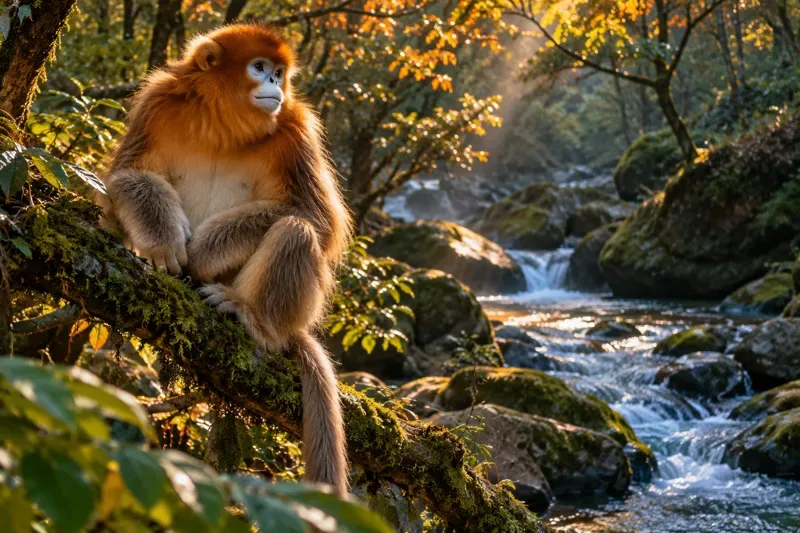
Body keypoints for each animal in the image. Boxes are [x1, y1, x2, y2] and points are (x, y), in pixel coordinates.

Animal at [96, 23, 351, 495]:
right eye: (259, 67)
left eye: (280, 72)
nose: (275, 84)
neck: (222, 125)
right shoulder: (157, 102)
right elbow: (125, 177)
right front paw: (162, 242)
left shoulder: (296, 128)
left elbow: (317, 216)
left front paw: (203, 251)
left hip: (294, 309)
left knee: (295, 229)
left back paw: (252, 316)